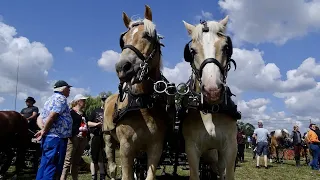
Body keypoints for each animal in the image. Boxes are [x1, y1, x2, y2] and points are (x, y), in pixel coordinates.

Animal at [104, 5, 171, 180]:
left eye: (147, 35)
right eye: (123, 40)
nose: (122, 67)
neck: (142, 102)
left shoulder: (156, 146)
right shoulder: (126, 147)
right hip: (108, 138)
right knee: (112, 166)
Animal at [180, 16, 240, 179]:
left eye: (226, 47)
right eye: (192, 51)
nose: (212, 91)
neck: (210, 109)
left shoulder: (231, 147)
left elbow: (228, 174)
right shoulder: (191, 149)